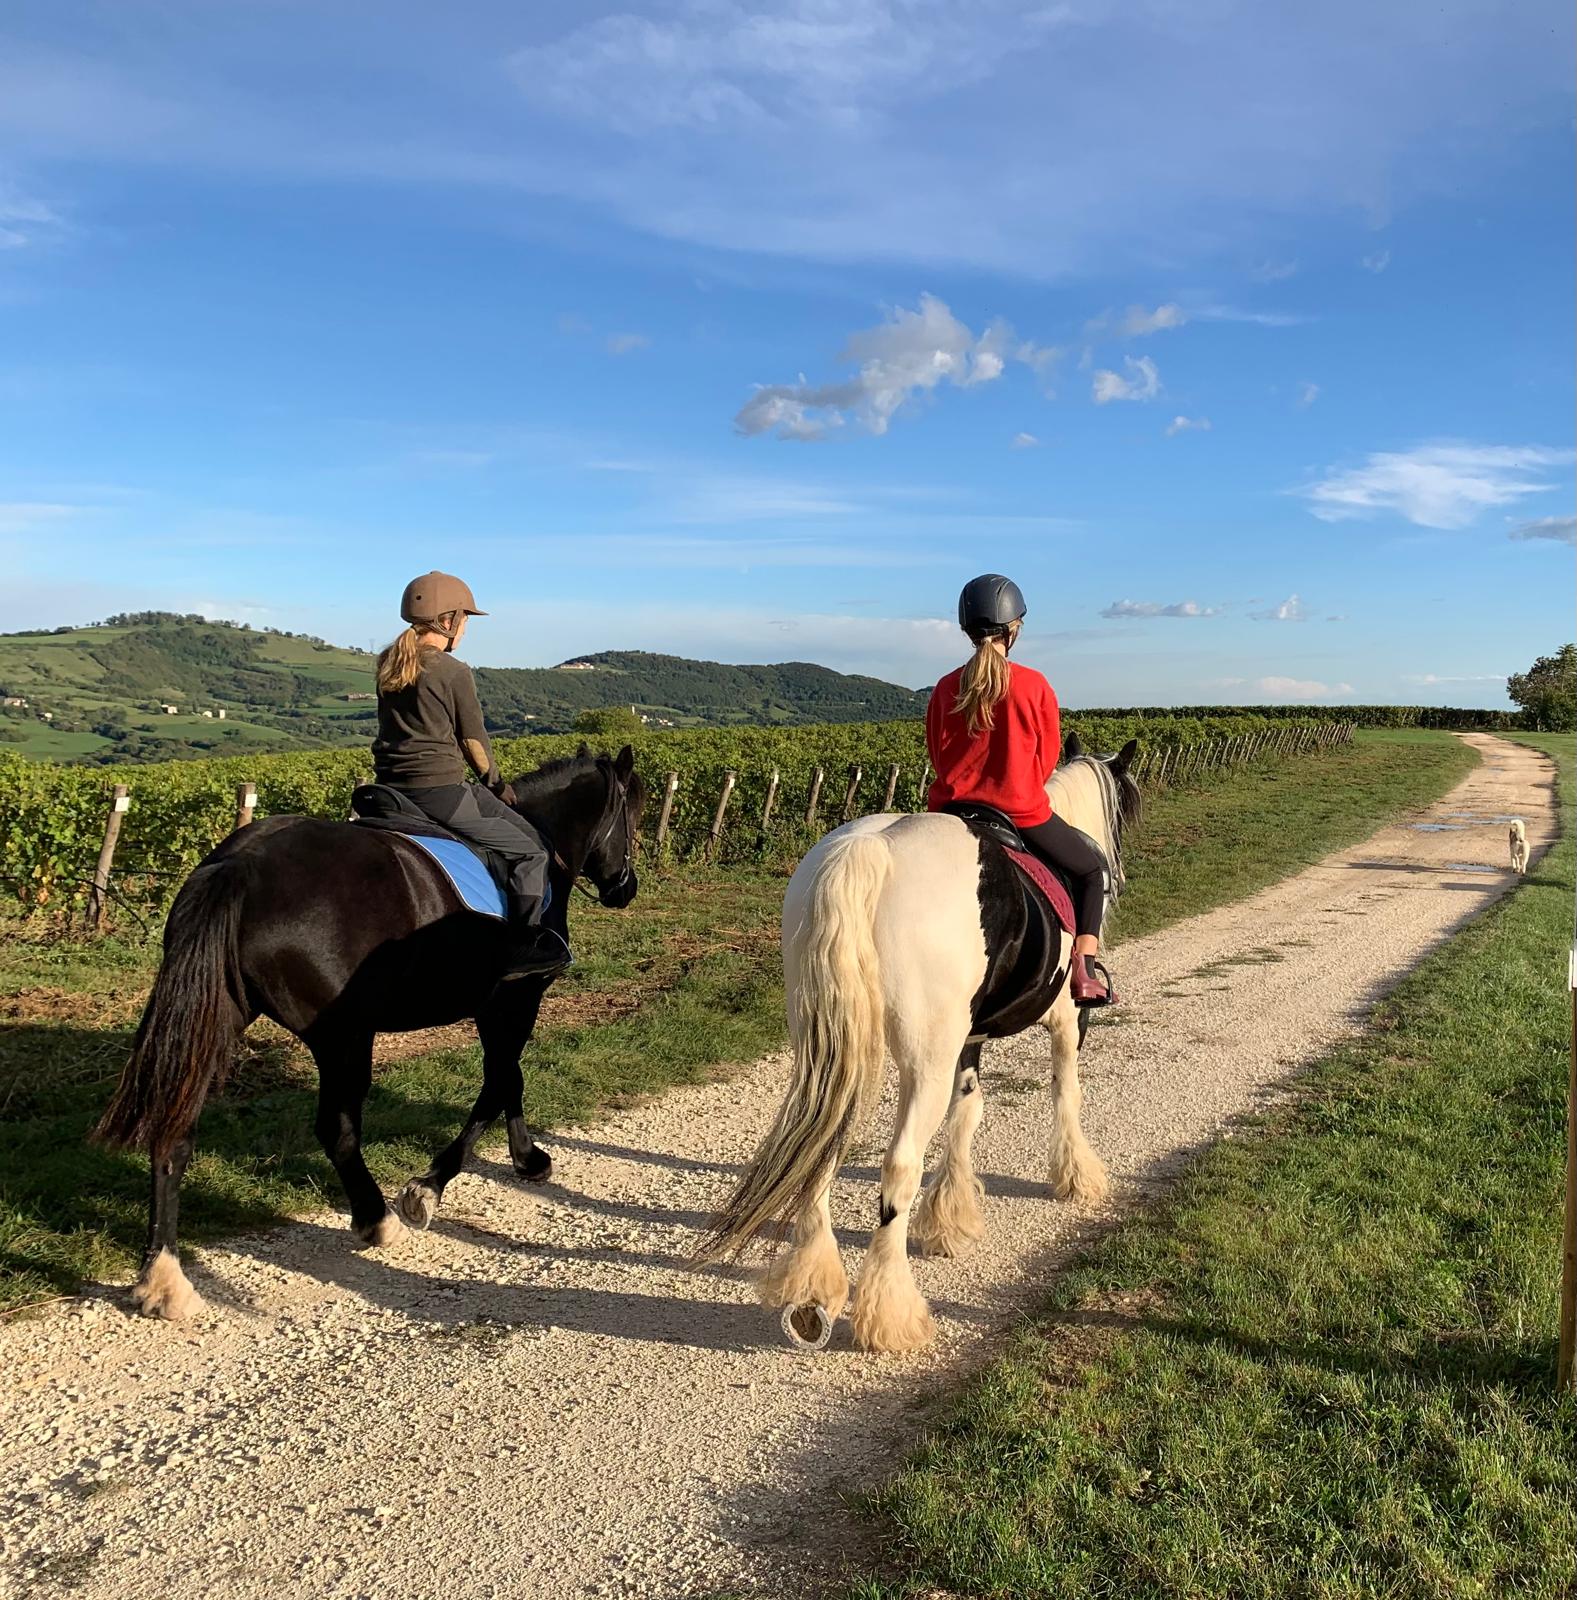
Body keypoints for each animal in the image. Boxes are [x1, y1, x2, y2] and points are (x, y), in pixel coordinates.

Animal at [95, 742, 646, 1318]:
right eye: (633, 814)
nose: (625, 888)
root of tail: (240, 864)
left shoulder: (496, 1005)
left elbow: (507, 1079)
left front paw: (526, 1159)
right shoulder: (517, 998)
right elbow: (500, 1081)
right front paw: (429, 1188)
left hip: (218, 1020)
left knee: (174, 1130)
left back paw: (162, 1277)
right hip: (344, 1036)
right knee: (336, 1129)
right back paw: (375, 1219)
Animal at [697, 732, 1132, 1350]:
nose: (1115, 871)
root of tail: (870, 850)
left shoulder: (967, 1039)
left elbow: (967, 1112)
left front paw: (949, 1220)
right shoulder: (1069, 1023)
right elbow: (1064, 1092)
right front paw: (1077, 1177)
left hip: (836, 1051)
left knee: (824, 1148)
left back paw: (811, 1287)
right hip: (921, 1059)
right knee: (898, 1166)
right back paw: (889, 1311)